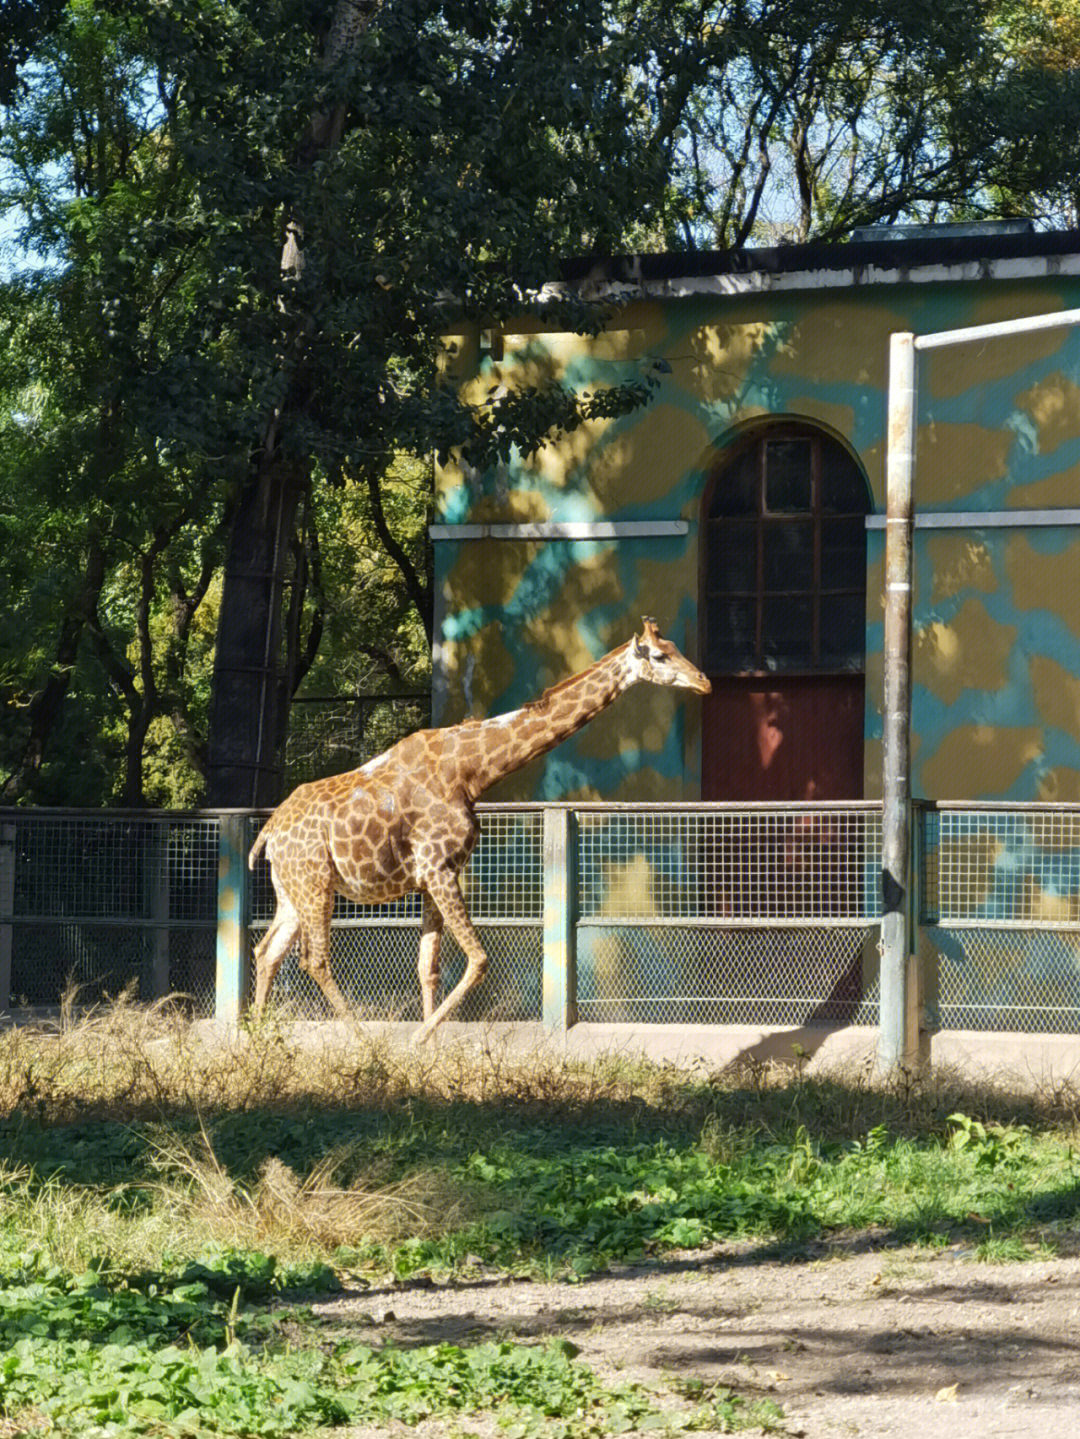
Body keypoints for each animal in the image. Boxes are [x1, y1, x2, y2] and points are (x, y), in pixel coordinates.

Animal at [248, 613, 713, 1041]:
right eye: (659, 655)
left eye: (675, 646)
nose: (704, 682)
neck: (471, 771)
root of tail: (268, 832)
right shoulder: (439, 869)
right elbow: (478, 960)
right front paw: (417, 1041)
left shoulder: (432, 876)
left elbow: (429, 968)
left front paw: (428, 1050)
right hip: (315, 884)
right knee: (314, 959)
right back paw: (361, 1042)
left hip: (292, 890)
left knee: (266, 951)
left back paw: (254, 1039)